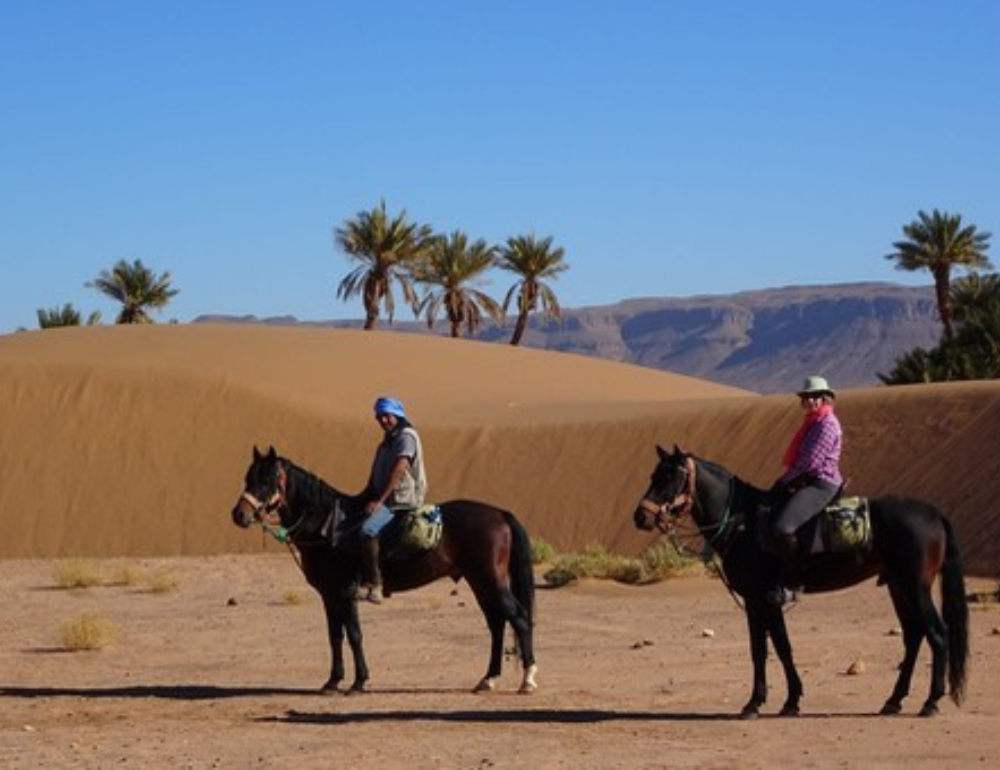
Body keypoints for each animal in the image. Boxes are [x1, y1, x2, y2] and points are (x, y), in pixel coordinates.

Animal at [231, 440, 540, 692]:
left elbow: (354, 635)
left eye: (268, 479)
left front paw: (358, 681)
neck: (328, 525)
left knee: (519, 618)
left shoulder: (345, 592)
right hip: (480, 582)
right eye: (247, 478)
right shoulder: (329, 595)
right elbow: (335, 636)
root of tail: (499, 513)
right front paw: (333, 681)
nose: (239, 515)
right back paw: (488, 679)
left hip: (491, 581)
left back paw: (527, 679)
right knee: (497, 623)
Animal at [632, 440, 968, 716]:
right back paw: (894, 700)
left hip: (915, 586)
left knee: (938, 633)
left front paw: (754, 703)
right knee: (914, 637)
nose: (641, 516)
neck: (742, 522)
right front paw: (791, 700)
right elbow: (782, 647)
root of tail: (934, 513)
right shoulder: (770, 601)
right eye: (652, 476)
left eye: (670, 478)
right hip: (898, 586)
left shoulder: (756, 599)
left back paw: (931, 702)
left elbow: (760, 650)